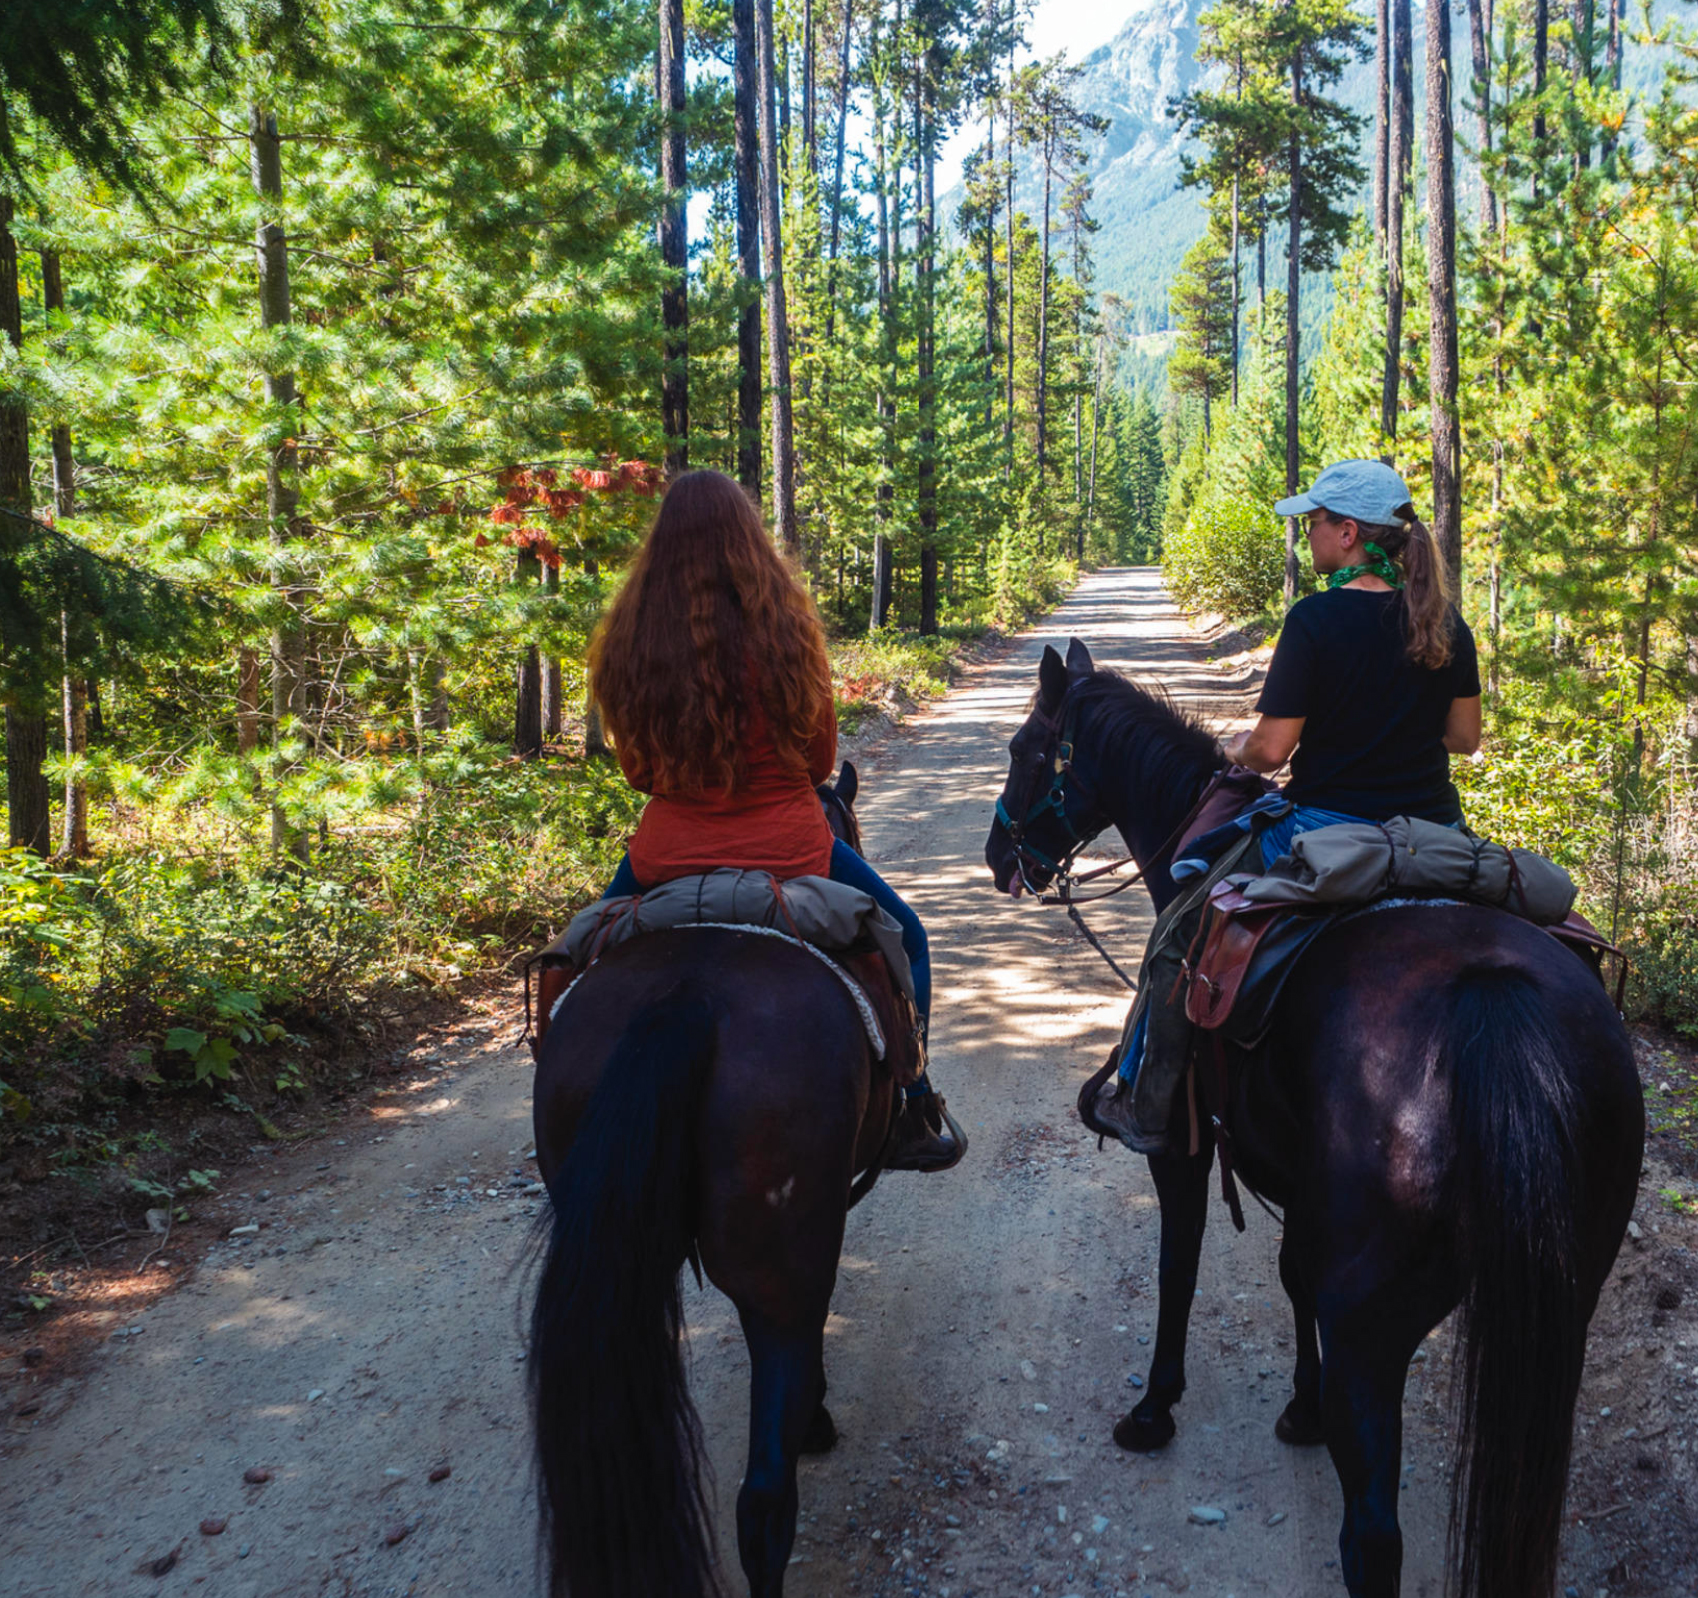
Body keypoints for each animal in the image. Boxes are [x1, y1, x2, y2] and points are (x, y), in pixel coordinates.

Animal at [984, 638, 1643, 1596]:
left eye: (1026, 749)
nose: (998, 856)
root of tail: (1493, 999)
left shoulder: (1180, 1149)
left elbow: (1178, 1265)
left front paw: (1154, 1407)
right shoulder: (1301, 1185)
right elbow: (1291, 1275)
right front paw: (1301, 1407)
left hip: (1372, 1322)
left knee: (1371, 1539)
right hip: (1568, 1297)